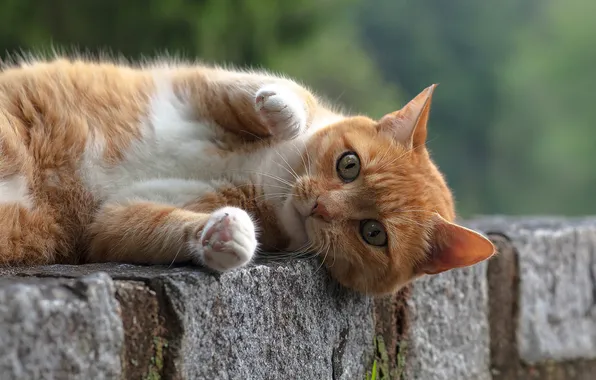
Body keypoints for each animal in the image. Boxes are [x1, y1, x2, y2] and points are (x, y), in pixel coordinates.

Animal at [0, 57, 494, 294]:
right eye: (348, 164)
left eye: (374, 233)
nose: (319, 205)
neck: (269, 175)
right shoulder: (198, 85)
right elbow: (276, 90)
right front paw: (281, 112)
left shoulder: (111, 221)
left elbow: (157, 225)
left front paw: (229, 236)